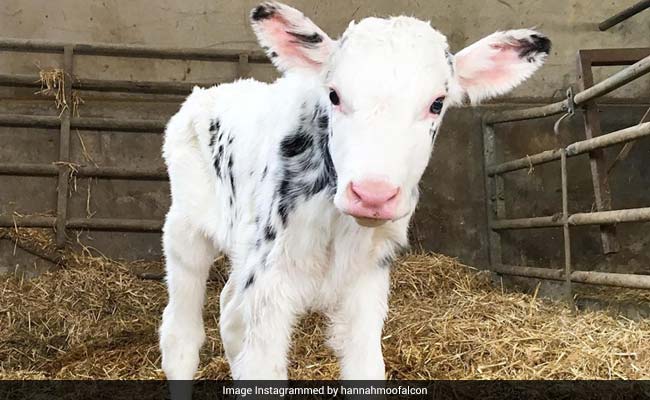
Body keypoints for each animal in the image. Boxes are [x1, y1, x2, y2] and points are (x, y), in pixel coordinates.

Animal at [159, 1, 550, 380]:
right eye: (333, 95)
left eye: (437, 103)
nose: (372, 194)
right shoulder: (268, 284)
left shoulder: (367, 280)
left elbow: (367, 366)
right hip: (185, 230)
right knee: (181, 335)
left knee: (228, 312)